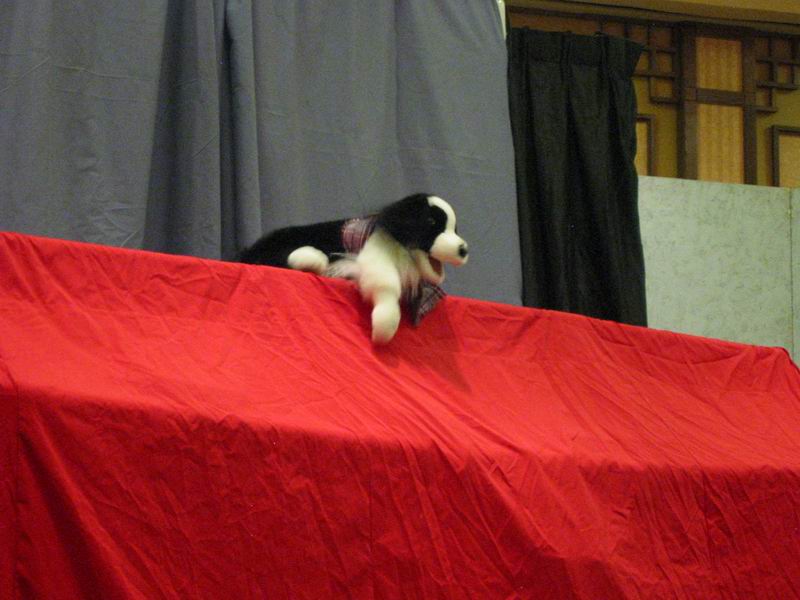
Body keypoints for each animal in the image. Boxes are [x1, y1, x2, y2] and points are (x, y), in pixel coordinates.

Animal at [237, 193, 469, 343]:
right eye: (431, 222)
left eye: (455, 229)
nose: (463, 249)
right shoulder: (375, 257)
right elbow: (386, 285)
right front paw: (384, 325)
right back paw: (313, 259)